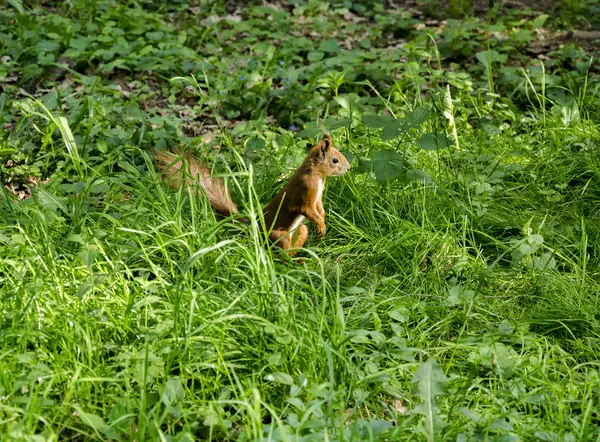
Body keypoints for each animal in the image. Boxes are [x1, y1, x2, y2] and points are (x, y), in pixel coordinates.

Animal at [154, 133, 352, 254]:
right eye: (335, 160)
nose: (349, 168)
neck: (317, 175)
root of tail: (256, 228)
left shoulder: (317, 196)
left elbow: (319, 208)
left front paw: (323, 221)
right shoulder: (305, 190)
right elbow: (307, 209)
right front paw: (321, 225)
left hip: (299, 231)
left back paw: (298, 261)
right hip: (278, 235)